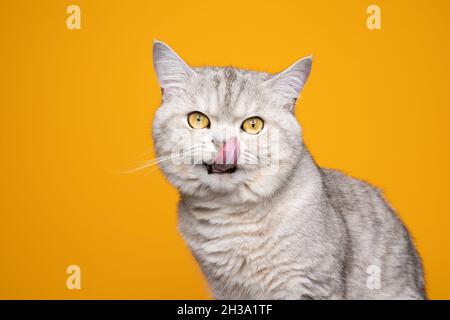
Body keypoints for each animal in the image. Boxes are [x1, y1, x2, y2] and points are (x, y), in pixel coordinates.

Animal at [150, 40, 426, 300]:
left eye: (253, 125)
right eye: (197, 120)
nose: (223, 143)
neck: (233, 219)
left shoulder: (310, 284)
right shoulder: (225, 289)